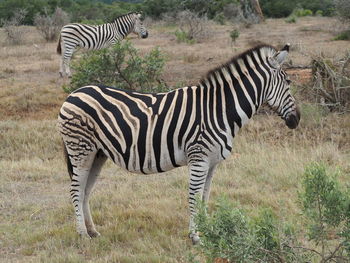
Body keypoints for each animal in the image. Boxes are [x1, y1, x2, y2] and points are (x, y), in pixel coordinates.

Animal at [58, 43, 300, 245]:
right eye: (288, 83)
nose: (296, 120)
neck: (219, 110)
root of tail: (73, 94)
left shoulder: (212, 163)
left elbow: (205, 197)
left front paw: (207, 231)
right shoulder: (199, 158)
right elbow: (194, 197)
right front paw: (195, 236)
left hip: (97, 154)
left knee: (85, 191)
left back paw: (92, 231)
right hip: (80, 149)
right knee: (76, 190)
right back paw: (82, 235)